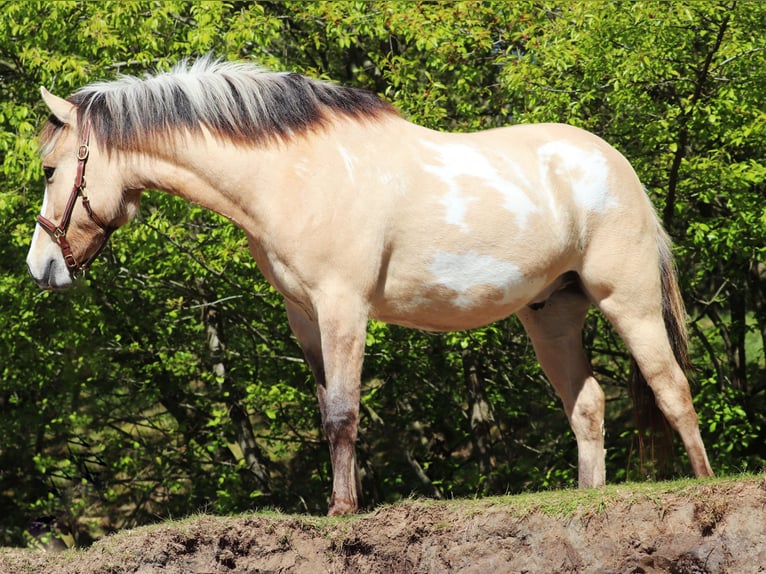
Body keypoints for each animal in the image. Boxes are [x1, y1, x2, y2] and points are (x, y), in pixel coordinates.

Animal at [26, 57, 713, 516]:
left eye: (52, 170)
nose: (40, 266)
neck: (293, 172)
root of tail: (618, 166)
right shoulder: (305, 316)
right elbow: (328, 406)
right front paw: (342, 502)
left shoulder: (343, 306)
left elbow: (343, 412)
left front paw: (342, 511)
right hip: (551, 314)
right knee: (588, 405)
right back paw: (585, 498)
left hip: (629, 301)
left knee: (673, 389)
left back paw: (705, 484)